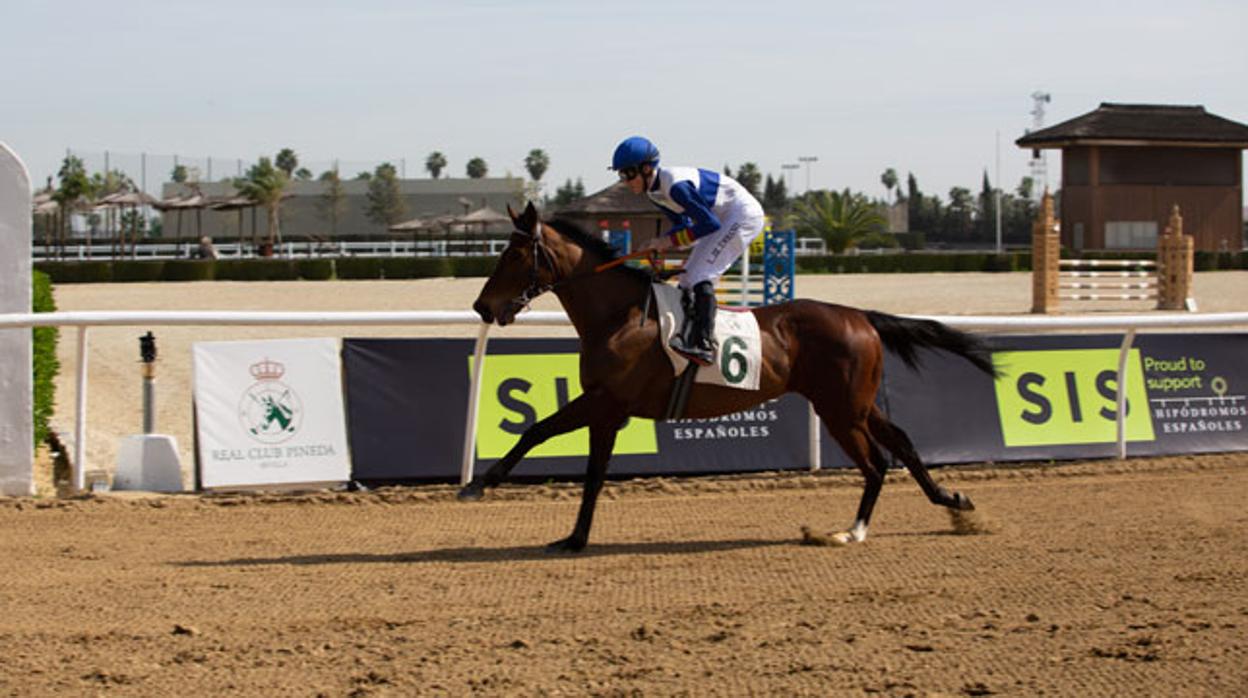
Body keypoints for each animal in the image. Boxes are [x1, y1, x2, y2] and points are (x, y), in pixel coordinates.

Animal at [459, 204, 993, 554]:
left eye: (512, 256)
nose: (482, 306)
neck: (618, 315)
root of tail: (860, 315)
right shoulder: (606, 408)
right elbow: (581, 464)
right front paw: (570, 535)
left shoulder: (606, 401)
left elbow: (544, 435)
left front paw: (480, 487)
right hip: (856, 403)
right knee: (900, 442)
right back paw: (953, 500)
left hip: (841, 408)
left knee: (877, 462)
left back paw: (850, 531)